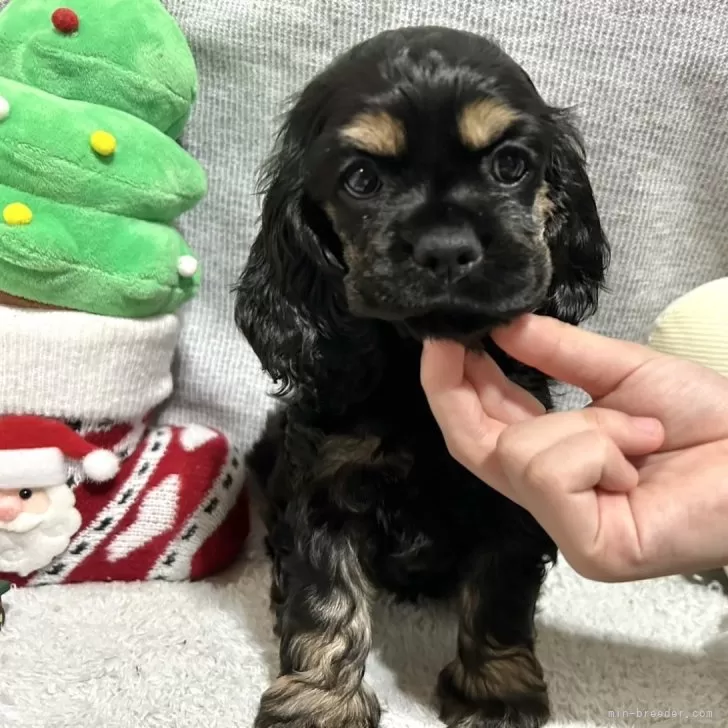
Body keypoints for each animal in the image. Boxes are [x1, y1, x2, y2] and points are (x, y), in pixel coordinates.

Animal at [235, 24, 608, 728]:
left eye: (511, 166)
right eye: (361, 179)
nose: (446, 249)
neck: (415, 370)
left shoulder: (511, 492)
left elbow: (500, 593)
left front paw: (496, 692)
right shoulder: (323, 483)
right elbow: (325, 600)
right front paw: (319, 703)